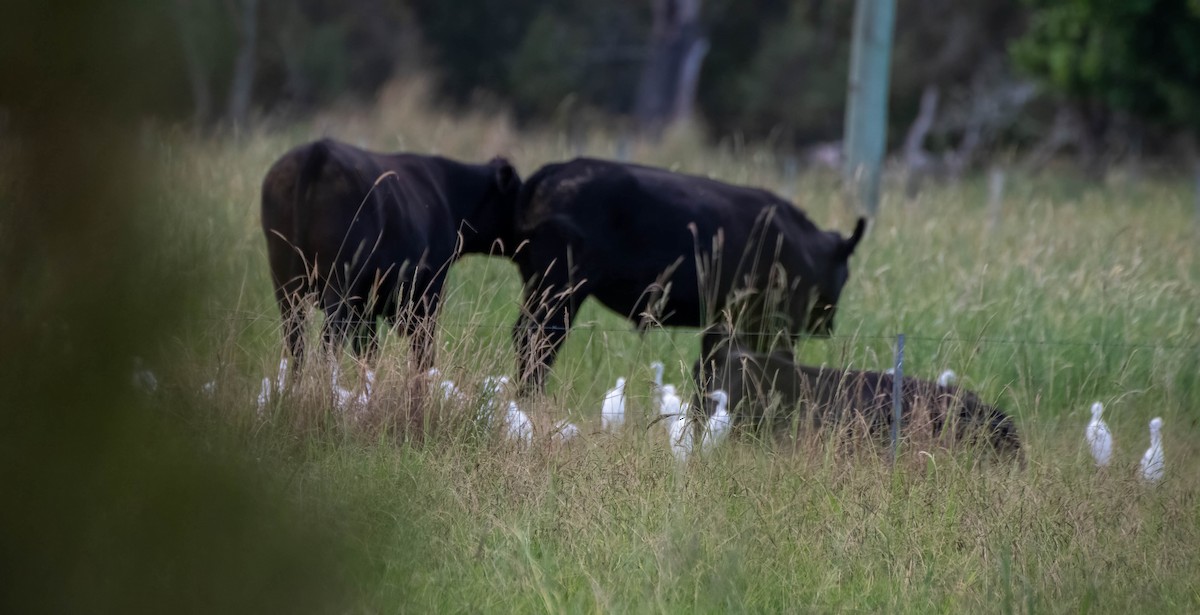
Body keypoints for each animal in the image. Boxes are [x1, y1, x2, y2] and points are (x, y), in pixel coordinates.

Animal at [262, 137, 520, 372]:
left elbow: (368, 352)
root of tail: (319, 149)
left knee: (297, 345)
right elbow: (422, 355)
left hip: (286, 284)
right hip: (339, 286)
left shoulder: (366, 309)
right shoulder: (428, 294)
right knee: (328, 346)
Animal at [511, 158, 868, 393]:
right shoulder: (772, 325)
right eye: (846, 276)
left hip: (542, 286)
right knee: (538, 340)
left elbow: (712, 369)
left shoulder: (721, 323)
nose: (827, 324)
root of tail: (556, 169)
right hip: (561, 289)